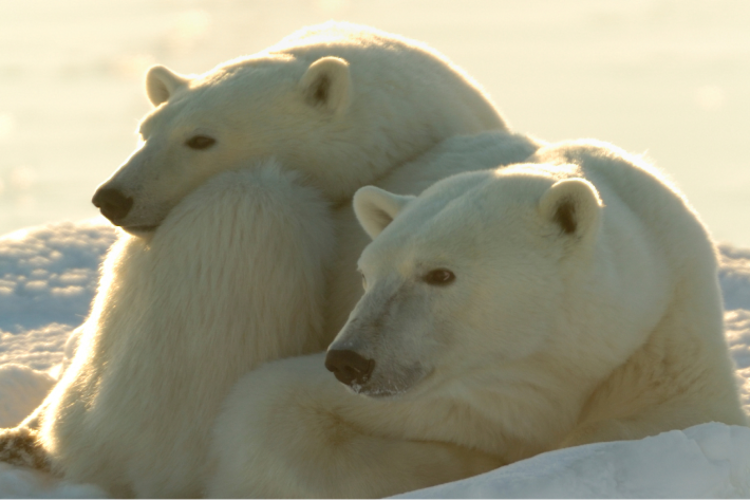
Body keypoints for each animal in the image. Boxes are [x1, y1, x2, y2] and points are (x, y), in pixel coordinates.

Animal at [205, 139, 747, 500]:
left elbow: (675, 418)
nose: (348, 361)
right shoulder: (454, 398)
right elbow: (266, 406)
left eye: (439, 273)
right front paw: (465, 464)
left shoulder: (663, 337)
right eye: (366, 273)